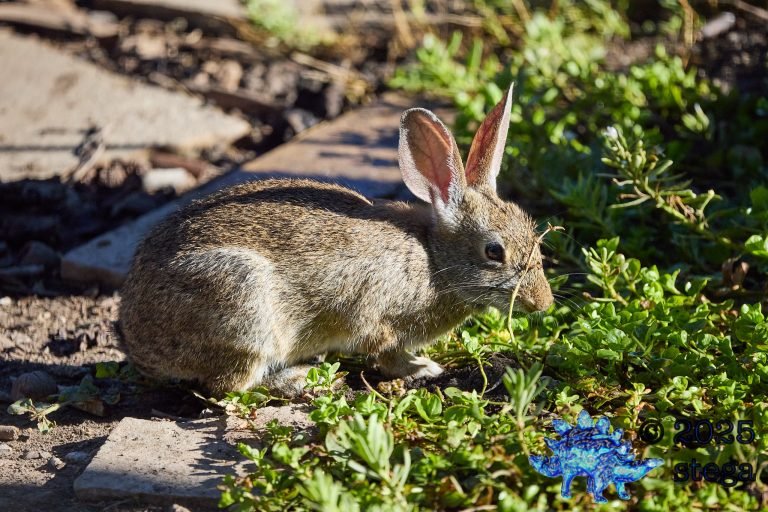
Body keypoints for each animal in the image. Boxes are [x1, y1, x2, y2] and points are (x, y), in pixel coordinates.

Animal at [118, 83, 554, 397]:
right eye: (494, 252)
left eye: (533, 230)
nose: (543, 303)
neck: (433, 258)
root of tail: (140, 343)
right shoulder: (376, 317)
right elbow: (386, 352)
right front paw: (424, 368)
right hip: (242, 306)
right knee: (229, 386)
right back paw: (299, 379)